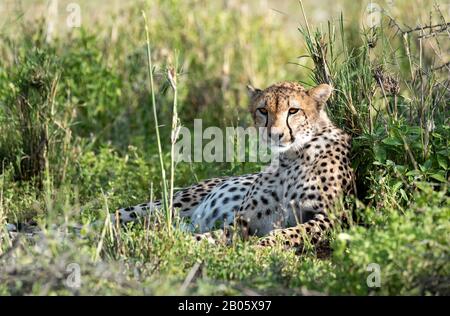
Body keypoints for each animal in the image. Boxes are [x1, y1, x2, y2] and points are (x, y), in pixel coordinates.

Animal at [112, 81, 356, 249]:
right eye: (263, 110)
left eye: (293, 111)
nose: (274, 134)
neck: (290, 157)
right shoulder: (243, 222)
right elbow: (212, 236)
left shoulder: (334, 217)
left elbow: (289, 233)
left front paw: (259, 248)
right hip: (172, 203)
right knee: (120, 213)